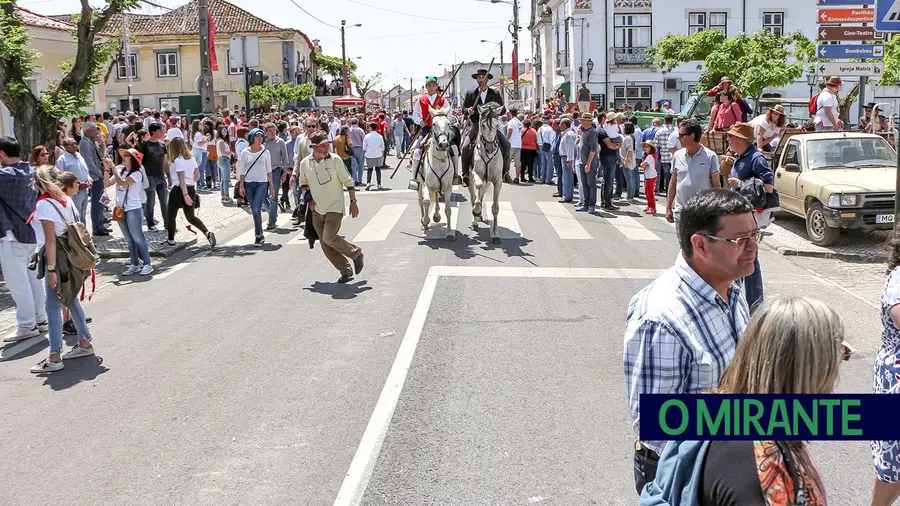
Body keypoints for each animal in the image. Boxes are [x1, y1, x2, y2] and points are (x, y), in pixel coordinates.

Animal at [416, 105, 458, 241]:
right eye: (433, 124)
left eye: (448, 123)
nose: (443, 144)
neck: (439, 161)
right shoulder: (427, 186)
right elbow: (426, 202)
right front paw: (425, 221)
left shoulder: (448, 187)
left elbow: (448, 209)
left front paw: (449, 232)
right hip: (419, 184)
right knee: (421, 201)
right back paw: (423, 222)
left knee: (436, 196)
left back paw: (436, 216)